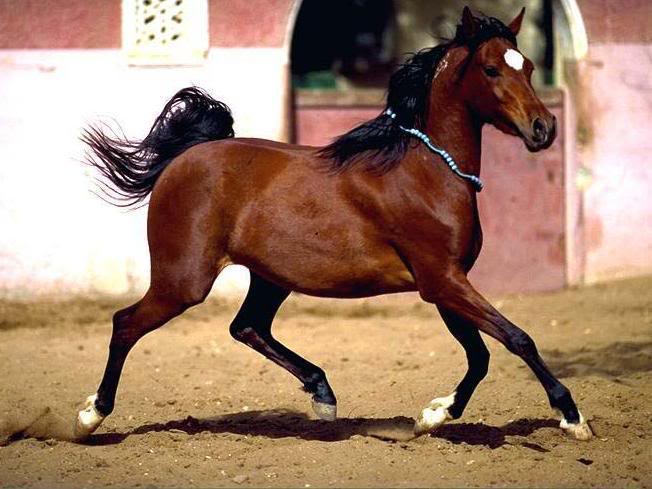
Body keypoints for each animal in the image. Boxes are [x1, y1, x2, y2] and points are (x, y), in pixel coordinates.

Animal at [77, 7, 592, 442]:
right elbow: (516, 338)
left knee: (247, 327)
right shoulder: (442, 280)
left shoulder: (445, 282)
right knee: (126, 324)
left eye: (528, 67)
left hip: (270, 276)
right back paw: (90, 416)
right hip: (183, 281)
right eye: (491, 70)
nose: (544, 129)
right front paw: (572, 417)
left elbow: (481, 355)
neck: (427, 171)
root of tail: (184, 158)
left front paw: (434, 415)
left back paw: (323, 396)